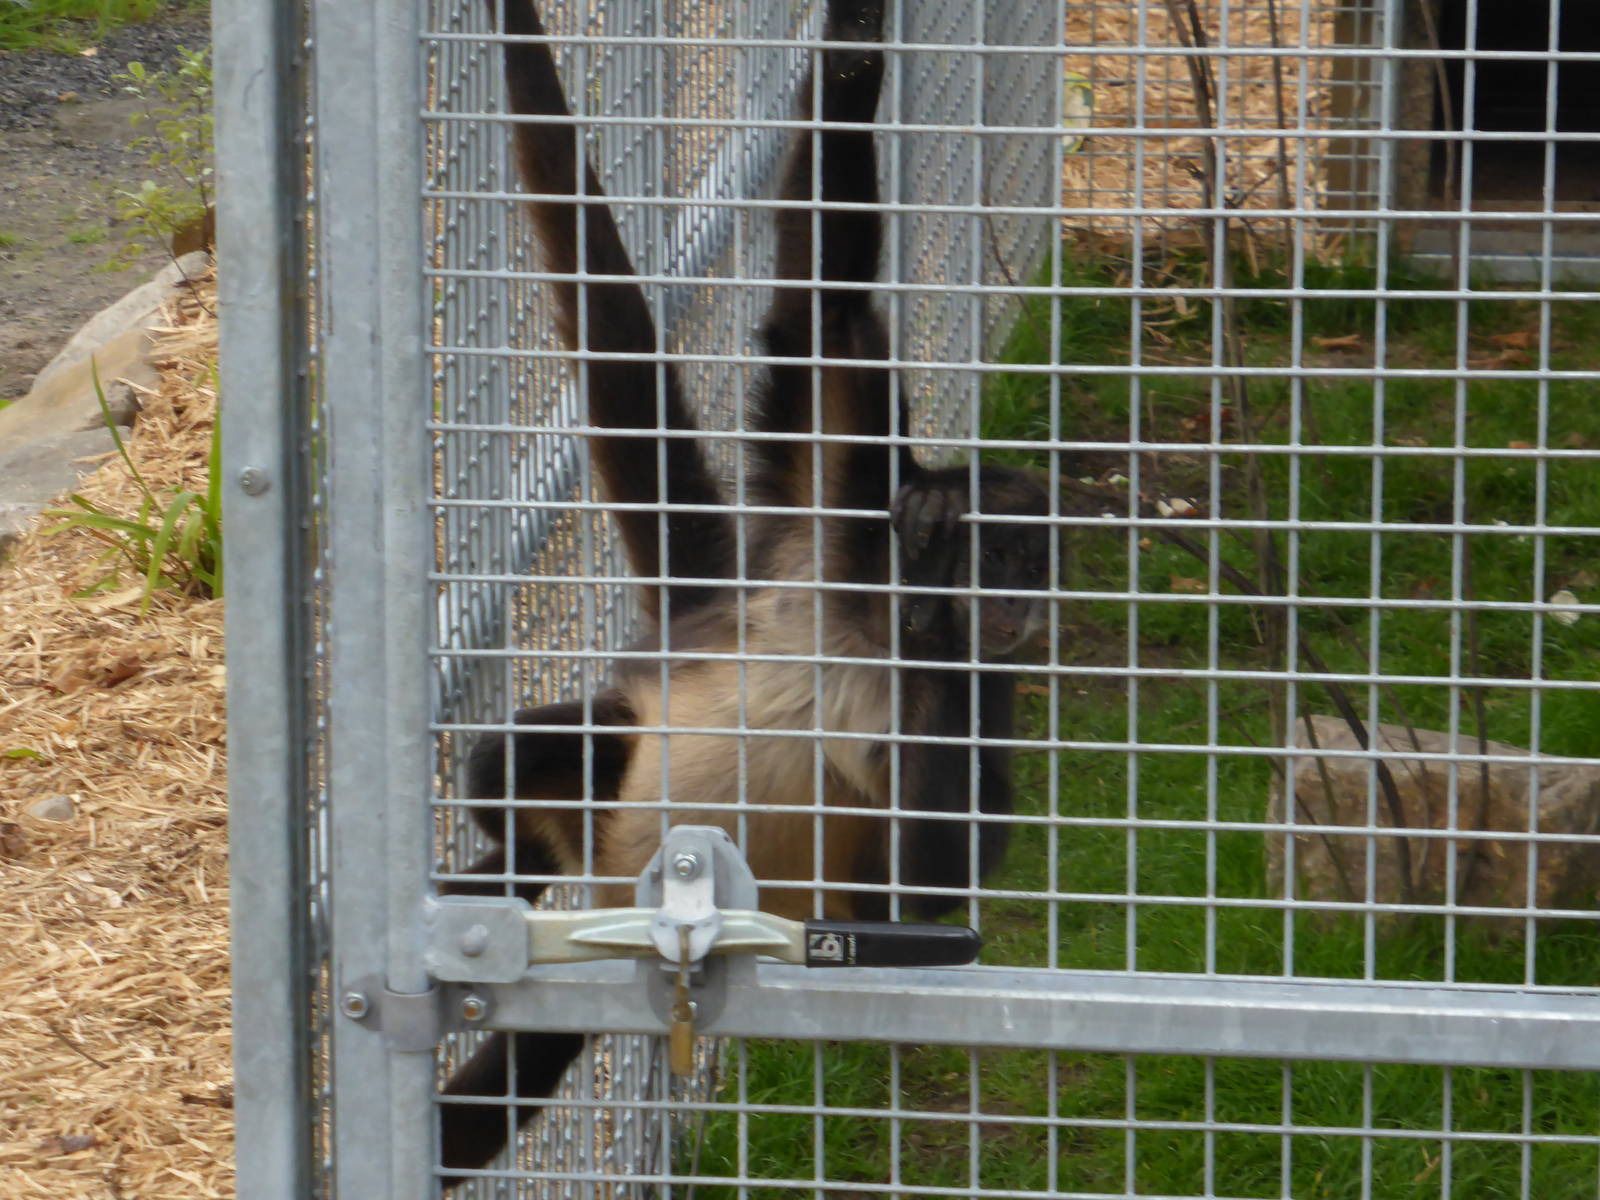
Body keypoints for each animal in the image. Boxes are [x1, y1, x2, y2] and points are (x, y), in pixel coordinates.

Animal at [437, 0, 1055, 1181]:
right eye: (1002, 561)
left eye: (1040, 567)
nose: (1018, 609)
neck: (868, 628)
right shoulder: (833, 518)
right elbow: (827, 314)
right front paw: (854, 45)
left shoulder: (964, 672)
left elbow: (925, 896)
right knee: (521, 754)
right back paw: (508, 869)